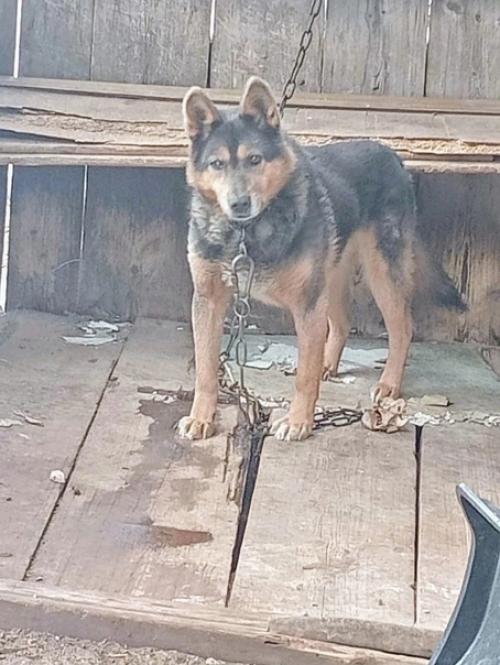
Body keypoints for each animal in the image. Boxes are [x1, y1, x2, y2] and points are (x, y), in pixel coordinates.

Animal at [177, 76, 465, 441]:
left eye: (255, 159)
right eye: (217, 164)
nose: (239, 204)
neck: (245, 233)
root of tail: (392, 157)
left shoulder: (307, 304)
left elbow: (304, 377)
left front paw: (299, 422)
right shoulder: (208, 301)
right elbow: (205, 369)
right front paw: (201, 418)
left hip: (381, 274)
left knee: (402, 329)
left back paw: (388, 384)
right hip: (333, 277)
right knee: (341, 324)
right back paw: (328, 364)